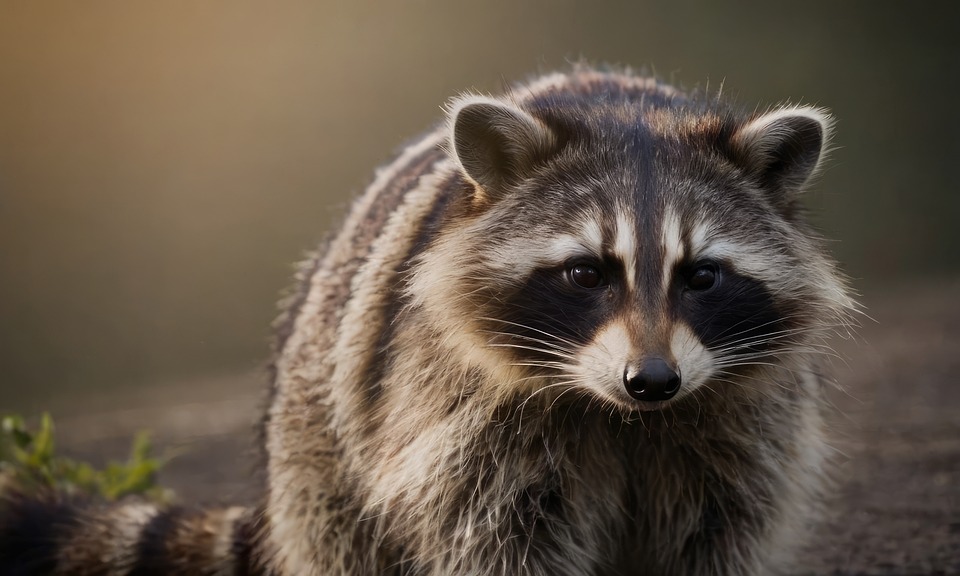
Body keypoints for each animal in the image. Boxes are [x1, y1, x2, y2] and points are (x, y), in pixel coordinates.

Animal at [0, 66, 855, 575]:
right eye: (587, 273)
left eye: (702, 276)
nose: (651, 380)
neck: (620, 416)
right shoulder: (462, 421)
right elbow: (499, 536)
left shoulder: (742, 425)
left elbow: (719, 530)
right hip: (321, 456)